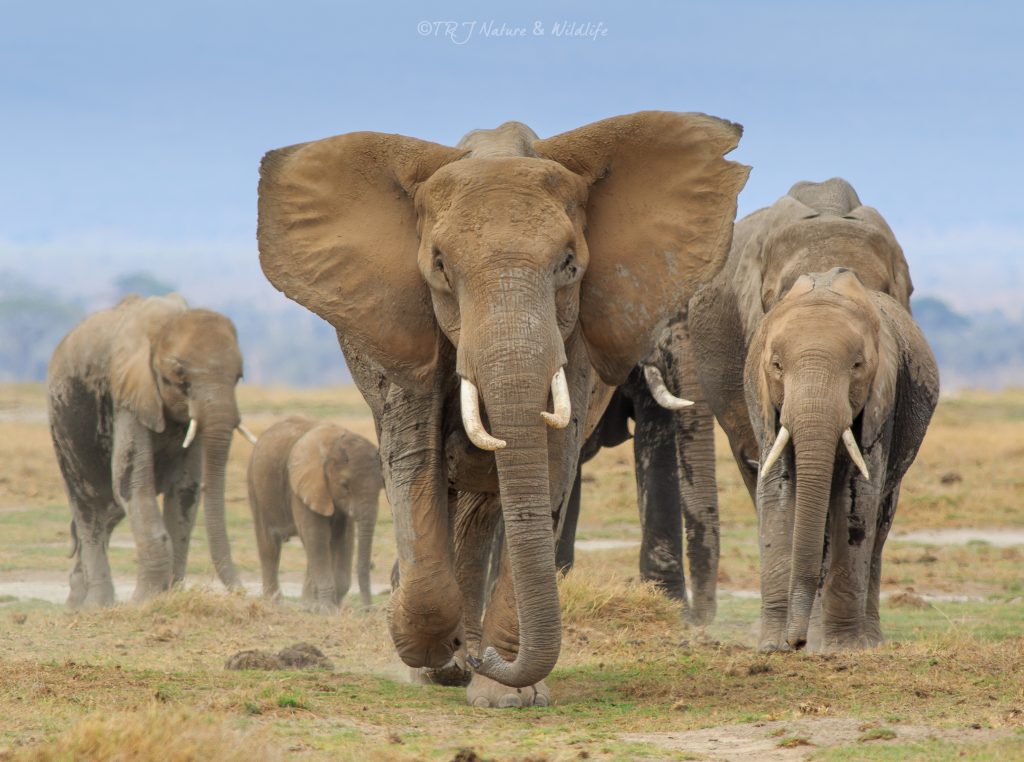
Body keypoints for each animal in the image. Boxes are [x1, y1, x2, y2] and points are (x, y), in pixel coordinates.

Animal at [47, 290, 256, 606]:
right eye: (180, 377)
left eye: (239, 377)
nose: (247, 593)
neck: (165, 323)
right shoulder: (128, 396)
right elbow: (133, 484)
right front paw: (144, 602)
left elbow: (185, 491)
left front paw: (167, 596)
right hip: (62, 423)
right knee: (88, 507)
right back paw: (98, 605)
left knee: (109, 511)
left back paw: (77, 603)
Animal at [247, 415, 385, 606]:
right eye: (345, 486)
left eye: (382, 485)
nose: (368, 609)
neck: (333, 444)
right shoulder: (303, 486)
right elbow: (317, 535)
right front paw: (326, 608)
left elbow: (344, 537)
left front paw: (328, 606)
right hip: (256, 485)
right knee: (270, 546)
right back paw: (274, 603)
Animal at [688, 177, 937, 647]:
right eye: (776, 365)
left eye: (857, 365)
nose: (797, 642)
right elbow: (779, 488)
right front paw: (772, 644)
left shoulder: (885, 392)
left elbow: (859, 495)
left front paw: (839, 646)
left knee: (881, 515)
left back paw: (863, 638)